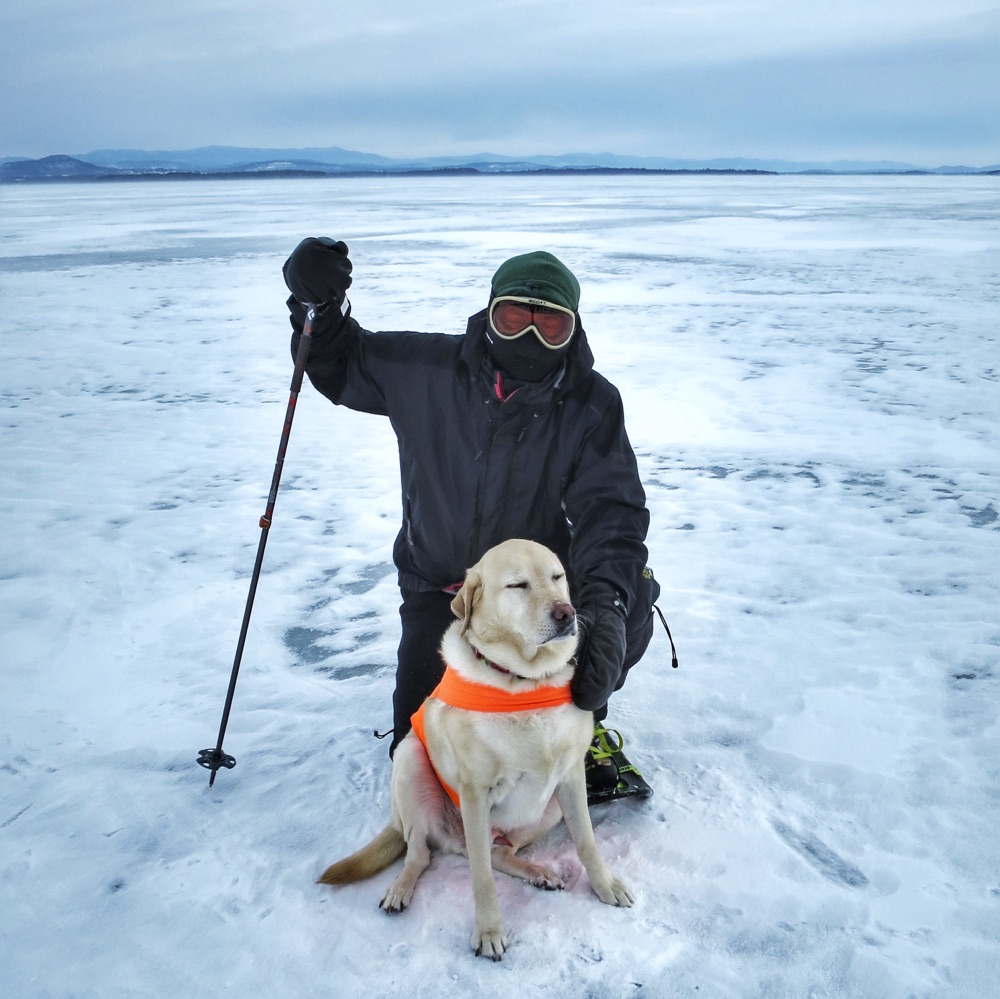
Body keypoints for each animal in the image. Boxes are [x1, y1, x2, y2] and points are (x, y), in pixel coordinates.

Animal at [316, 540, 636, 960]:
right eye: (517, 585)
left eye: (557, 577)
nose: (566, 614)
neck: (525, 683)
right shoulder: (475, 794)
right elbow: (482, 878)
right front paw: (488, 932)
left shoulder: (570, 778)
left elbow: (586, 842)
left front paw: (605, 885)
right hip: (411, 760)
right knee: (423, 853)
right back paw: (400, 890)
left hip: (546, 807)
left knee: (499, 852)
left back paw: (538, 873)